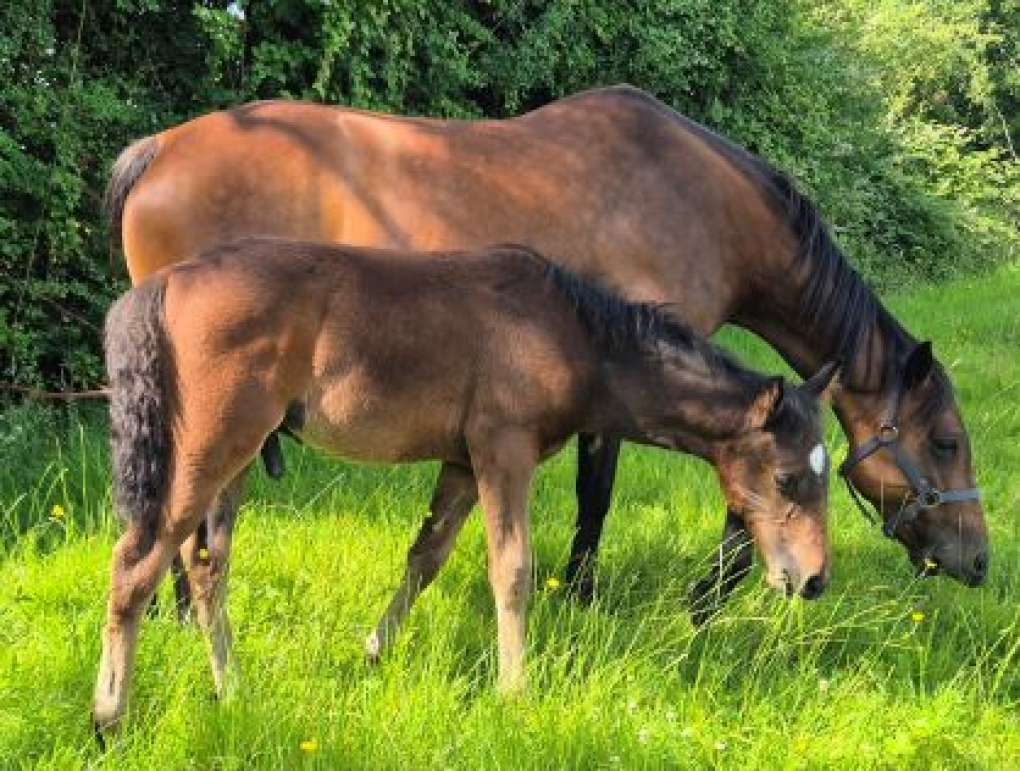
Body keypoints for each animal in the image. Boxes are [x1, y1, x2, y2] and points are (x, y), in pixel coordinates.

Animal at [93, 240, 836, 742]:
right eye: (788, 476)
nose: (813, 579)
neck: (570, 332)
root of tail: (163, 283)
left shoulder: (459, 461)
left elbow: (425, 557)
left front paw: (374, 652)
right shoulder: (503, 451)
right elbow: (512, 570)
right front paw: (515, 694)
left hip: (237, 459)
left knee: (205, 566)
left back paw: (233, 691)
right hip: (212, 447)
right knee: (137, 564)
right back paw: (109, 717)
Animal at [109, 85, 987, 615]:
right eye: (946, 441)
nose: (980, 561)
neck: (699, 198)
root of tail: (159, 149)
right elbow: (620, 493)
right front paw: (674, 600)